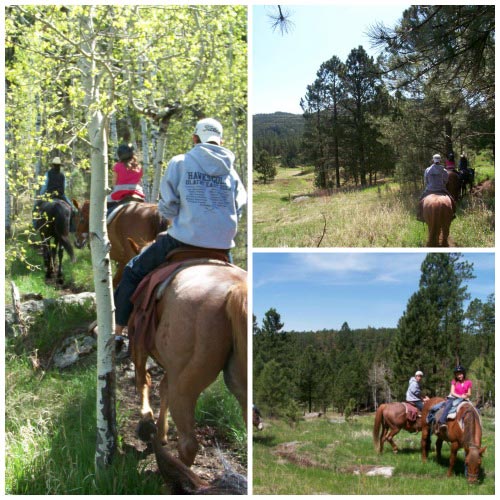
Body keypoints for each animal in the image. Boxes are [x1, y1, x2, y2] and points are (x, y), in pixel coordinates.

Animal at [129, 260, 246, 466]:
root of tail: (236, 291)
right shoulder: (170, 369)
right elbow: (163, 388)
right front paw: (160, 433)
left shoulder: (139, 344)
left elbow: (144, 380)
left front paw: (147, 422)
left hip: (184, 388)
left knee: (188, 444)